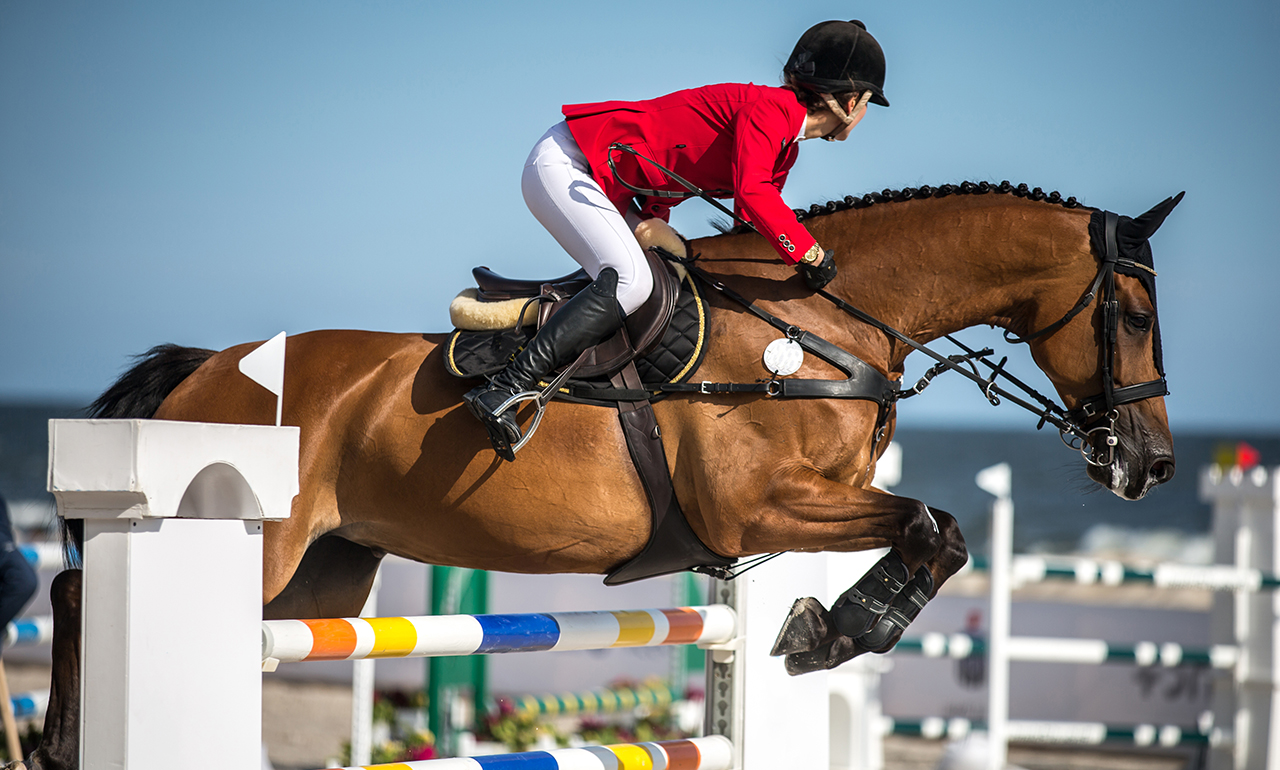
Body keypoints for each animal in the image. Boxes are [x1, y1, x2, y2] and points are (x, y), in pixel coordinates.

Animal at [17, 182, 1177, 762]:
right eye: (1129, 313)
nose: (1150, 463)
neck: (819, 320)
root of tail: (205, 366)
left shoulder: (802, 508)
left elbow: (936, 527)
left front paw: (824, 628)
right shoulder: (760, 507)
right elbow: (934, 522)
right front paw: (830, 630)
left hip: (323, 573)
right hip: (253, 538)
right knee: (75, 585)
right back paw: (64, 738)